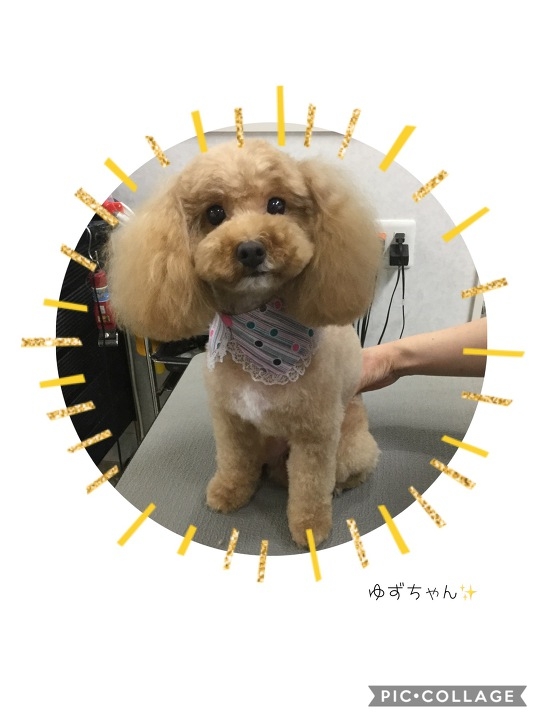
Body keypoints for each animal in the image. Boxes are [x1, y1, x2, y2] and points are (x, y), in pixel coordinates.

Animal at [107, 138, 382, 548]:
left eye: (277, 204)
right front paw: (229, 492)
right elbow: (235, 460)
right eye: (214, 213)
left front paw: (310, 527)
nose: (251, 249)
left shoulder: (315, 434)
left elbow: (310, 485)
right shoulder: (231, 418)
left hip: (350, 446)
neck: (262, 342)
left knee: (345, 471)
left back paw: (335, 486)